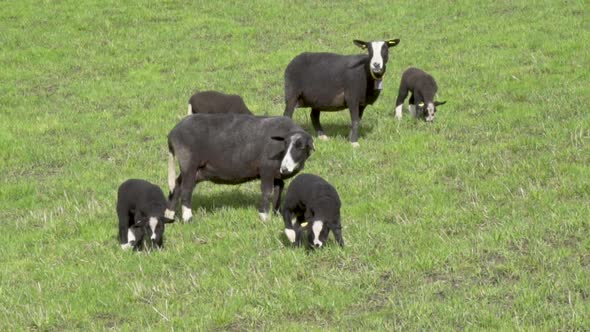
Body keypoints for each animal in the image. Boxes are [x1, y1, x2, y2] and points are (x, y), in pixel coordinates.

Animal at [166, 113, 316, 223]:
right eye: (285, 145)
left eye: (301, 147)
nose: (284, 169)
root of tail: (172, 134)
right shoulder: (266, 170)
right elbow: (268, 192)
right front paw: (264, 217)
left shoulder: (276, 175)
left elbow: (278, 191)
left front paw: (276, 214)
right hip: (189, 163)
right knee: (186, 190)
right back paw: (188, 218)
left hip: (198, 170)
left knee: (177, 186)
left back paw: (169, 216)